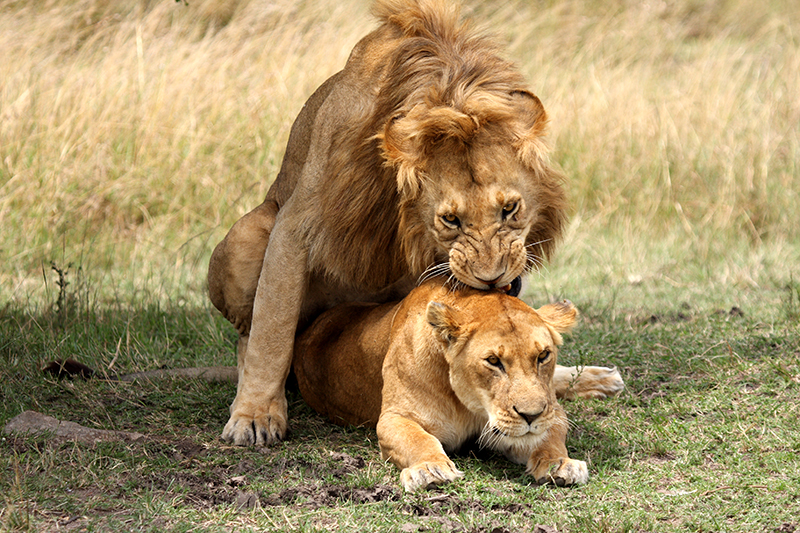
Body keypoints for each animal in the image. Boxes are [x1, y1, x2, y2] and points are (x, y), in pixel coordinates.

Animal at [208, 0, 568, 446]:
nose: (491, 278)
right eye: (450, 219)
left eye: (510, 208)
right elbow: (271, 331)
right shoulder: (296, 225)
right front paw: (255, 414)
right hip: (251, 230)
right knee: (248, 334)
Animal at [294, 278, 624, 490]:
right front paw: (430, 469)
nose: (530, 416)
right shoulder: (394, 418)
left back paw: (606, 379)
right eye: (493, 361)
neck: (472, 405)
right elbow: (418, 439)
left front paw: (560, 464)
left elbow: (549, 436)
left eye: (543, 355)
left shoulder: (549, 411)